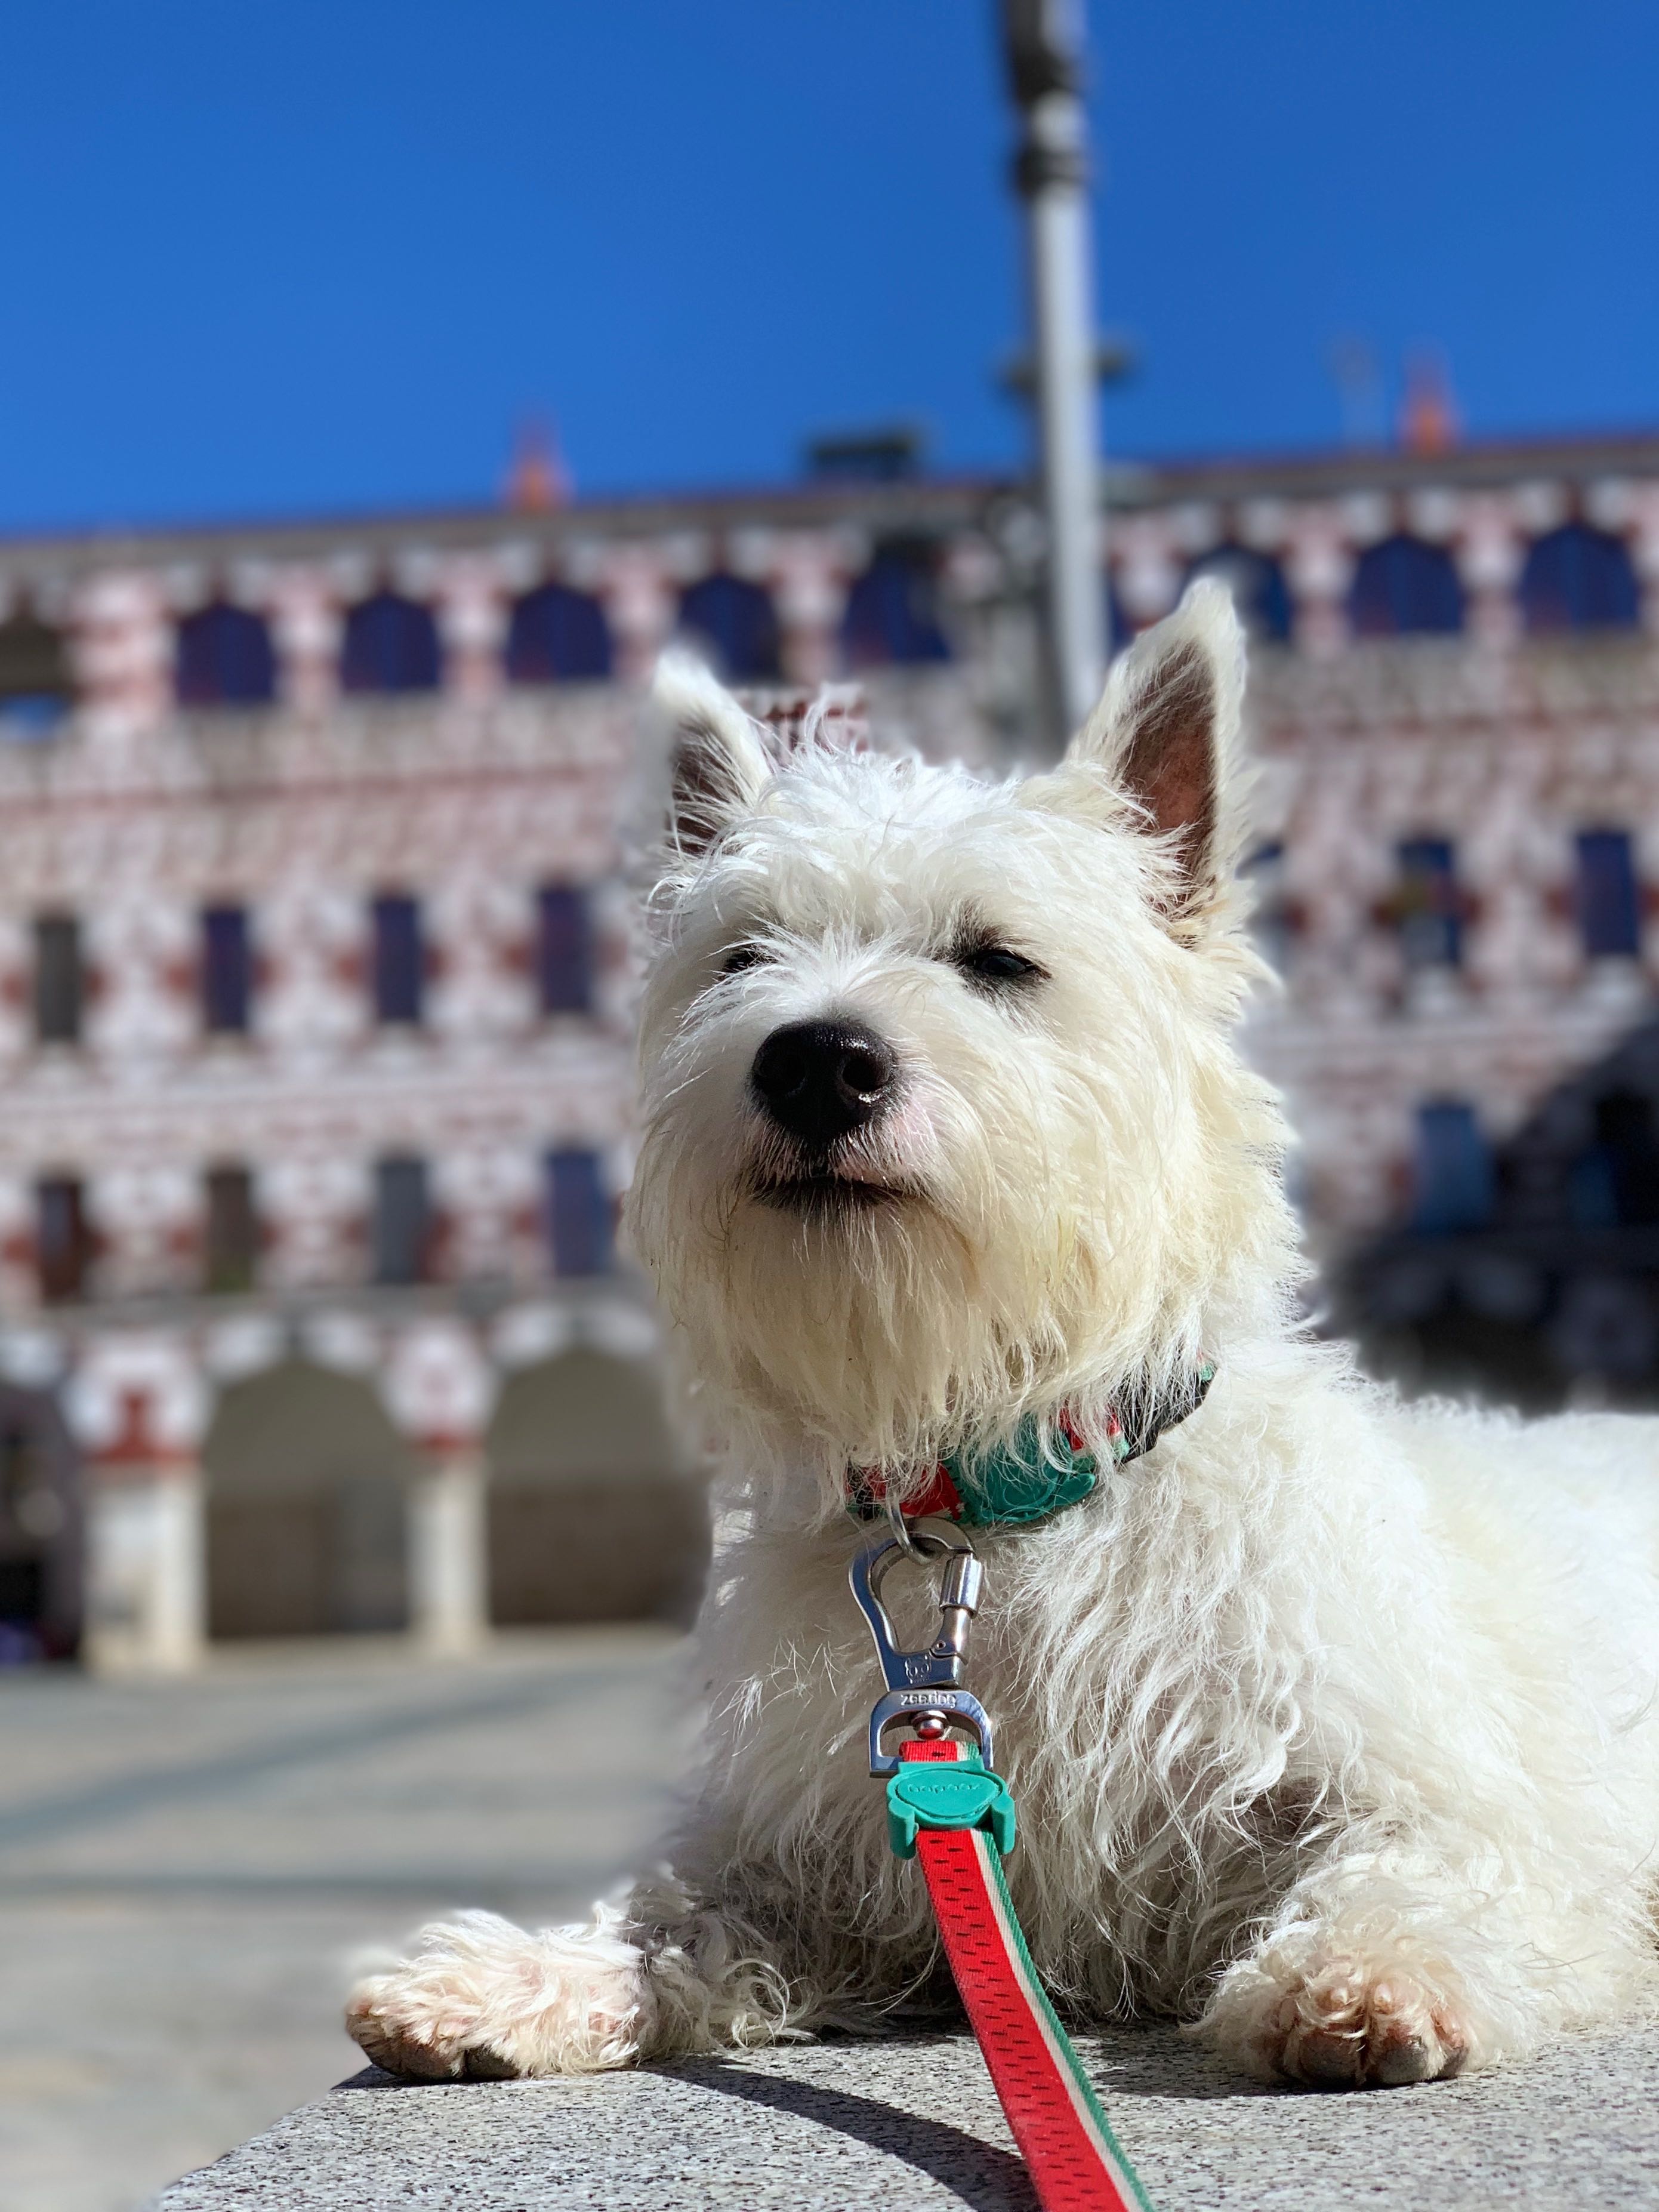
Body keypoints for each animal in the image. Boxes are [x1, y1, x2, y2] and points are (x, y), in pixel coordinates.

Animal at [351, 584, 1659, 2088]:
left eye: (997, 959)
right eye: (742, 958)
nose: (814, 1060)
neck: (997, 1490)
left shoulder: (1454, 1794)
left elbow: (1432, 1867)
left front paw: (1368, 1972)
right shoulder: (830, 1844)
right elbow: (677, 1915)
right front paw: (507, 1976)